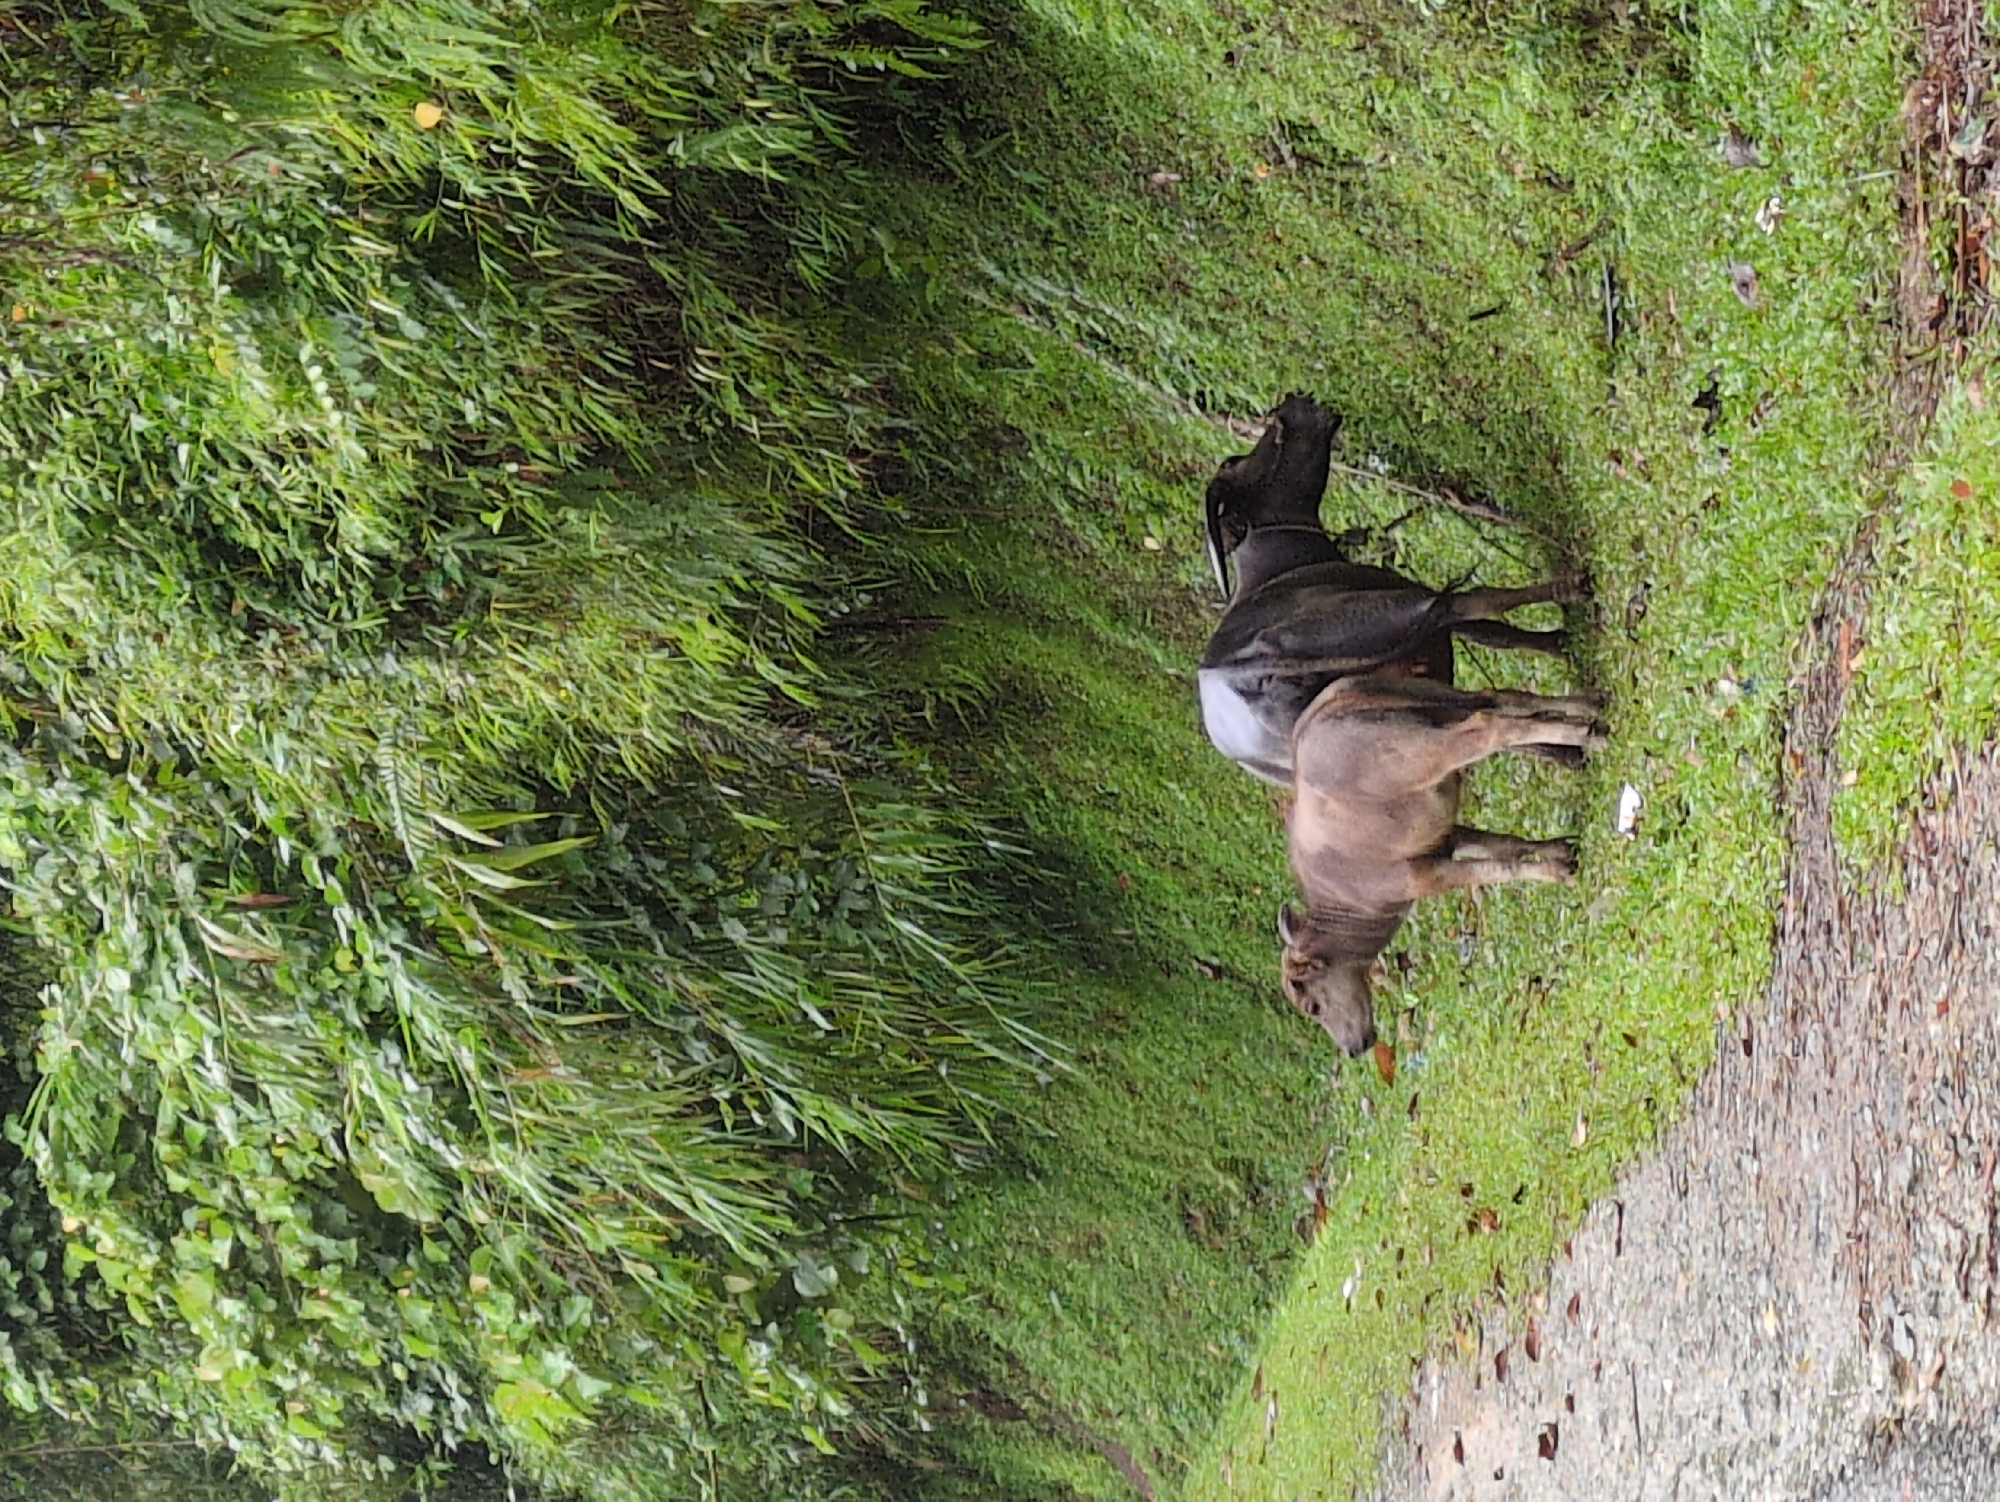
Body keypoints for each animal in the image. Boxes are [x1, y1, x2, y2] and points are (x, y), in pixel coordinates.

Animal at [1198, 394, 1583, 786]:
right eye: (1277, 432)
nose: (1290, 401)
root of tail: (1236, 674)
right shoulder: (1409, 599)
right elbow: (1492, 624)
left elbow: (1497, 636)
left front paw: (1561, 649)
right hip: (1386, 613)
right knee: (1478, 603)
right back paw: (1570, 590)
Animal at [1278, 675, 1606, 1054]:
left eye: (1312, 1006)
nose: (1354, 1048)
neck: (1353, 903)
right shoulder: (1444, 838)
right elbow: (1506, 846)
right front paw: (1561, 851)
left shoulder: (1423, 876)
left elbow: (1492, 870)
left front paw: (1558, 872)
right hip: (1437, 699)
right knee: (1501, 698)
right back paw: (1591, 708)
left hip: (1428, 750)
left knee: (1489, 725)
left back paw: (1589, 736)